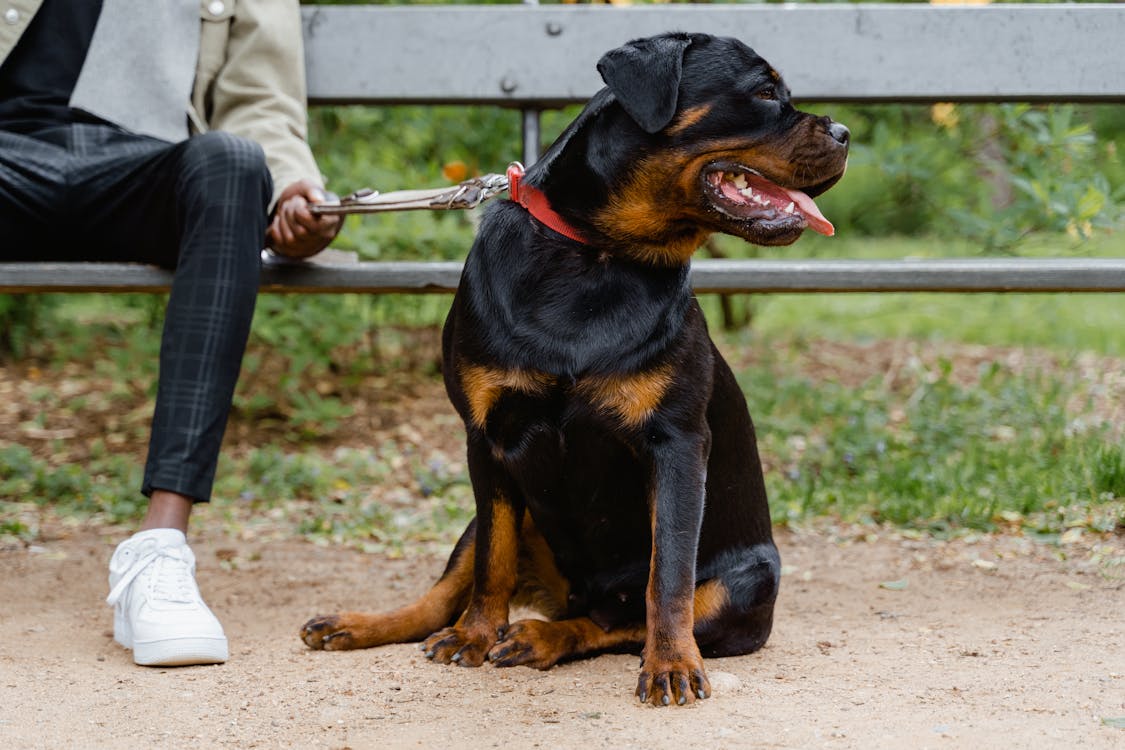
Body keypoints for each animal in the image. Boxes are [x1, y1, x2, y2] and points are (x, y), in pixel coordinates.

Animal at [303, 30, 846, 710]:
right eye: (765, 92)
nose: (845, 131)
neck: (596, 256)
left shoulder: (675, 443)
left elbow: (668, 577)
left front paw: (671, 664)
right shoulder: (485, 438)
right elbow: (493, 563)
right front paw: (474, 635)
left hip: (744, 585)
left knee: (615, 621)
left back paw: (543, 637)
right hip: (494, 517)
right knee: (449, 590)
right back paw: (366, 624)